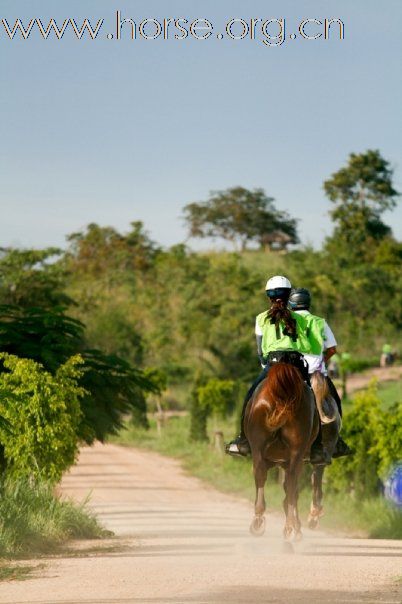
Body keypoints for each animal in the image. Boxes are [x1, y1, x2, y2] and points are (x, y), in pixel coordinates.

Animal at [243, 360, 318, 540]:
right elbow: (292, 490)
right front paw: (297, 526)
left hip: (261, 448)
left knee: (262, 475)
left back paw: (260, 520)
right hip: (294, 453)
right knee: (290, 482)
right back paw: (289, 526)